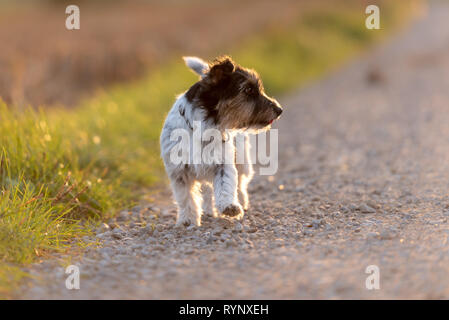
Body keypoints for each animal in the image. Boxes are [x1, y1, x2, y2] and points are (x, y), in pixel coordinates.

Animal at [159, 55, 282, 226]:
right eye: (248, 90)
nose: (279, 110)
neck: (204, 126)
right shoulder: (179, 172)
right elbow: (185, 198)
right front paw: (187, 220)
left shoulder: (223, 163)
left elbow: (226, 185)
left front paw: (230, 207)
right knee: (207, 191)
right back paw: (209, 211)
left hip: (242, 161)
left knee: (240, 184)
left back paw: (240, 203)